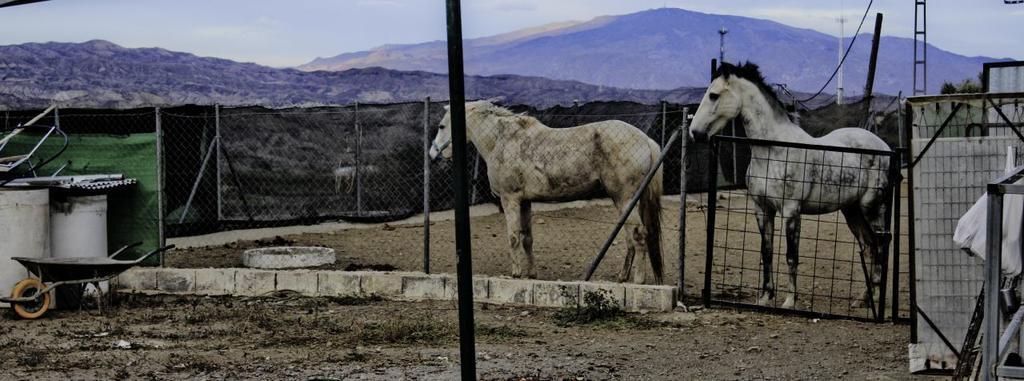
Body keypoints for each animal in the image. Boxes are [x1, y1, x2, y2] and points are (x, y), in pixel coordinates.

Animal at [425, 99, 659, 284]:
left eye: (442, 126)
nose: (432, 154)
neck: (502, 141)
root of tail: (646, 140)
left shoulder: (510, 199)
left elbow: (513, 237)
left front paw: (516, 274)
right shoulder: (525, 201)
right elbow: (527, 238)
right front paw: (531, 273)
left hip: (625, 199)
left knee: (638, 235)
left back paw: (638, 280)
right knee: (630, 237)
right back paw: (622, 277)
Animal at [688, 62, 897, 309]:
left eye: (713, 95)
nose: (695, 133)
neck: (773, 151)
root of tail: (885, 148)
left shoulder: (790, 211)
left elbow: (791, 256)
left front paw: (789, 301)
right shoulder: (762, 210)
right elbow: (766, 252)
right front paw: (765, 297)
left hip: (872, 208)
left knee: (881, 242)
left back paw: (877, 297)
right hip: (852, 211)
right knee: (868, 245)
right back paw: (863, 299)